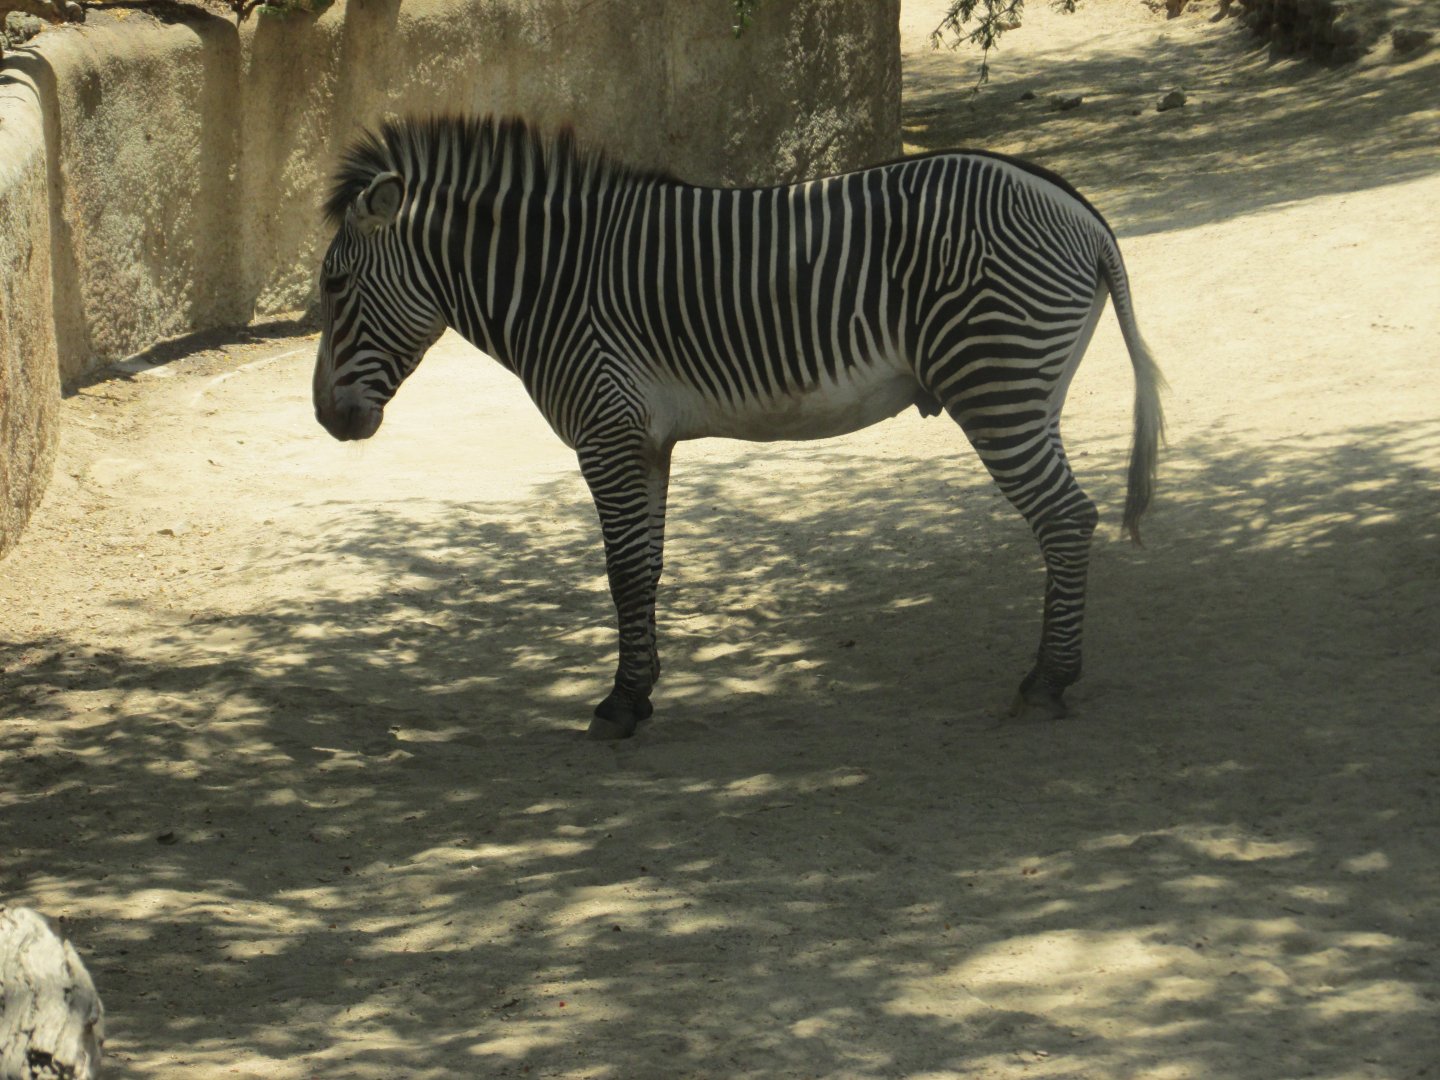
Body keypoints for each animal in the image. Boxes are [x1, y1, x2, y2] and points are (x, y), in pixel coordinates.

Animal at [313, 115, 1164, 740]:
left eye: (336, 284)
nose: (327, 418)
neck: (553, 282)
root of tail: (1080, 212)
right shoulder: (645, 441)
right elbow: (646, 570)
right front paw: (640, 690)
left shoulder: (607, 431)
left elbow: (621, 571)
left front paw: (619, 705)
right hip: (1031, 392)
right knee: (1069, 518)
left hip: (997, 386)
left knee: (1067, 519)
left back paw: (1047, 682)